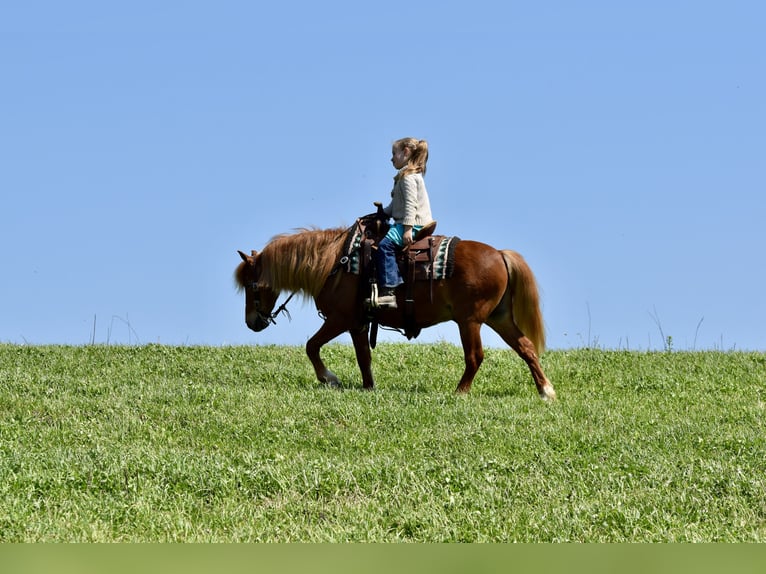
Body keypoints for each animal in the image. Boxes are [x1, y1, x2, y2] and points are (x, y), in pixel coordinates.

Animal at [235, 216, 556, 400]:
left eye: (251, 285)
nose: (252, 322)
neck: (334, 263)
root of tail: (500, 254)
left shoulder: (339, 319)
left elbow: (311, 346)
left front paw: (329, 379)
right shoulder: (358, 324)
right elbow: (363, 357)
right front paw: (368, 387)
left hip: (470, 320)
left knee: (475, 356)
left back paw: (460, 393)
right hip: (499, 318)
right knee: (526, 348)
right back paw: (546, 391)